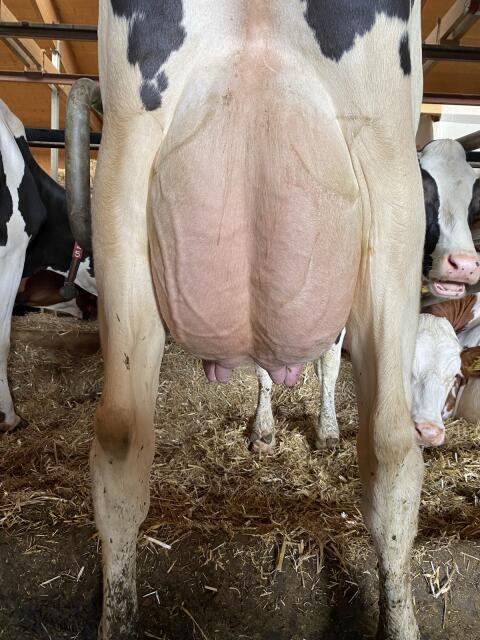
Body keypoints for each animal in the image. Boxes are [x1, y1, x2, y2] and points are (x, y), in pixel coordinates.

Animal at [251, 138, 480, 452]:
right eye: (421, 190)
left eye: (473, 205)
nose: (464, 265)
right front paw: (262, 429)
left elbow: (330, 368)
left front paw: (328, 430)